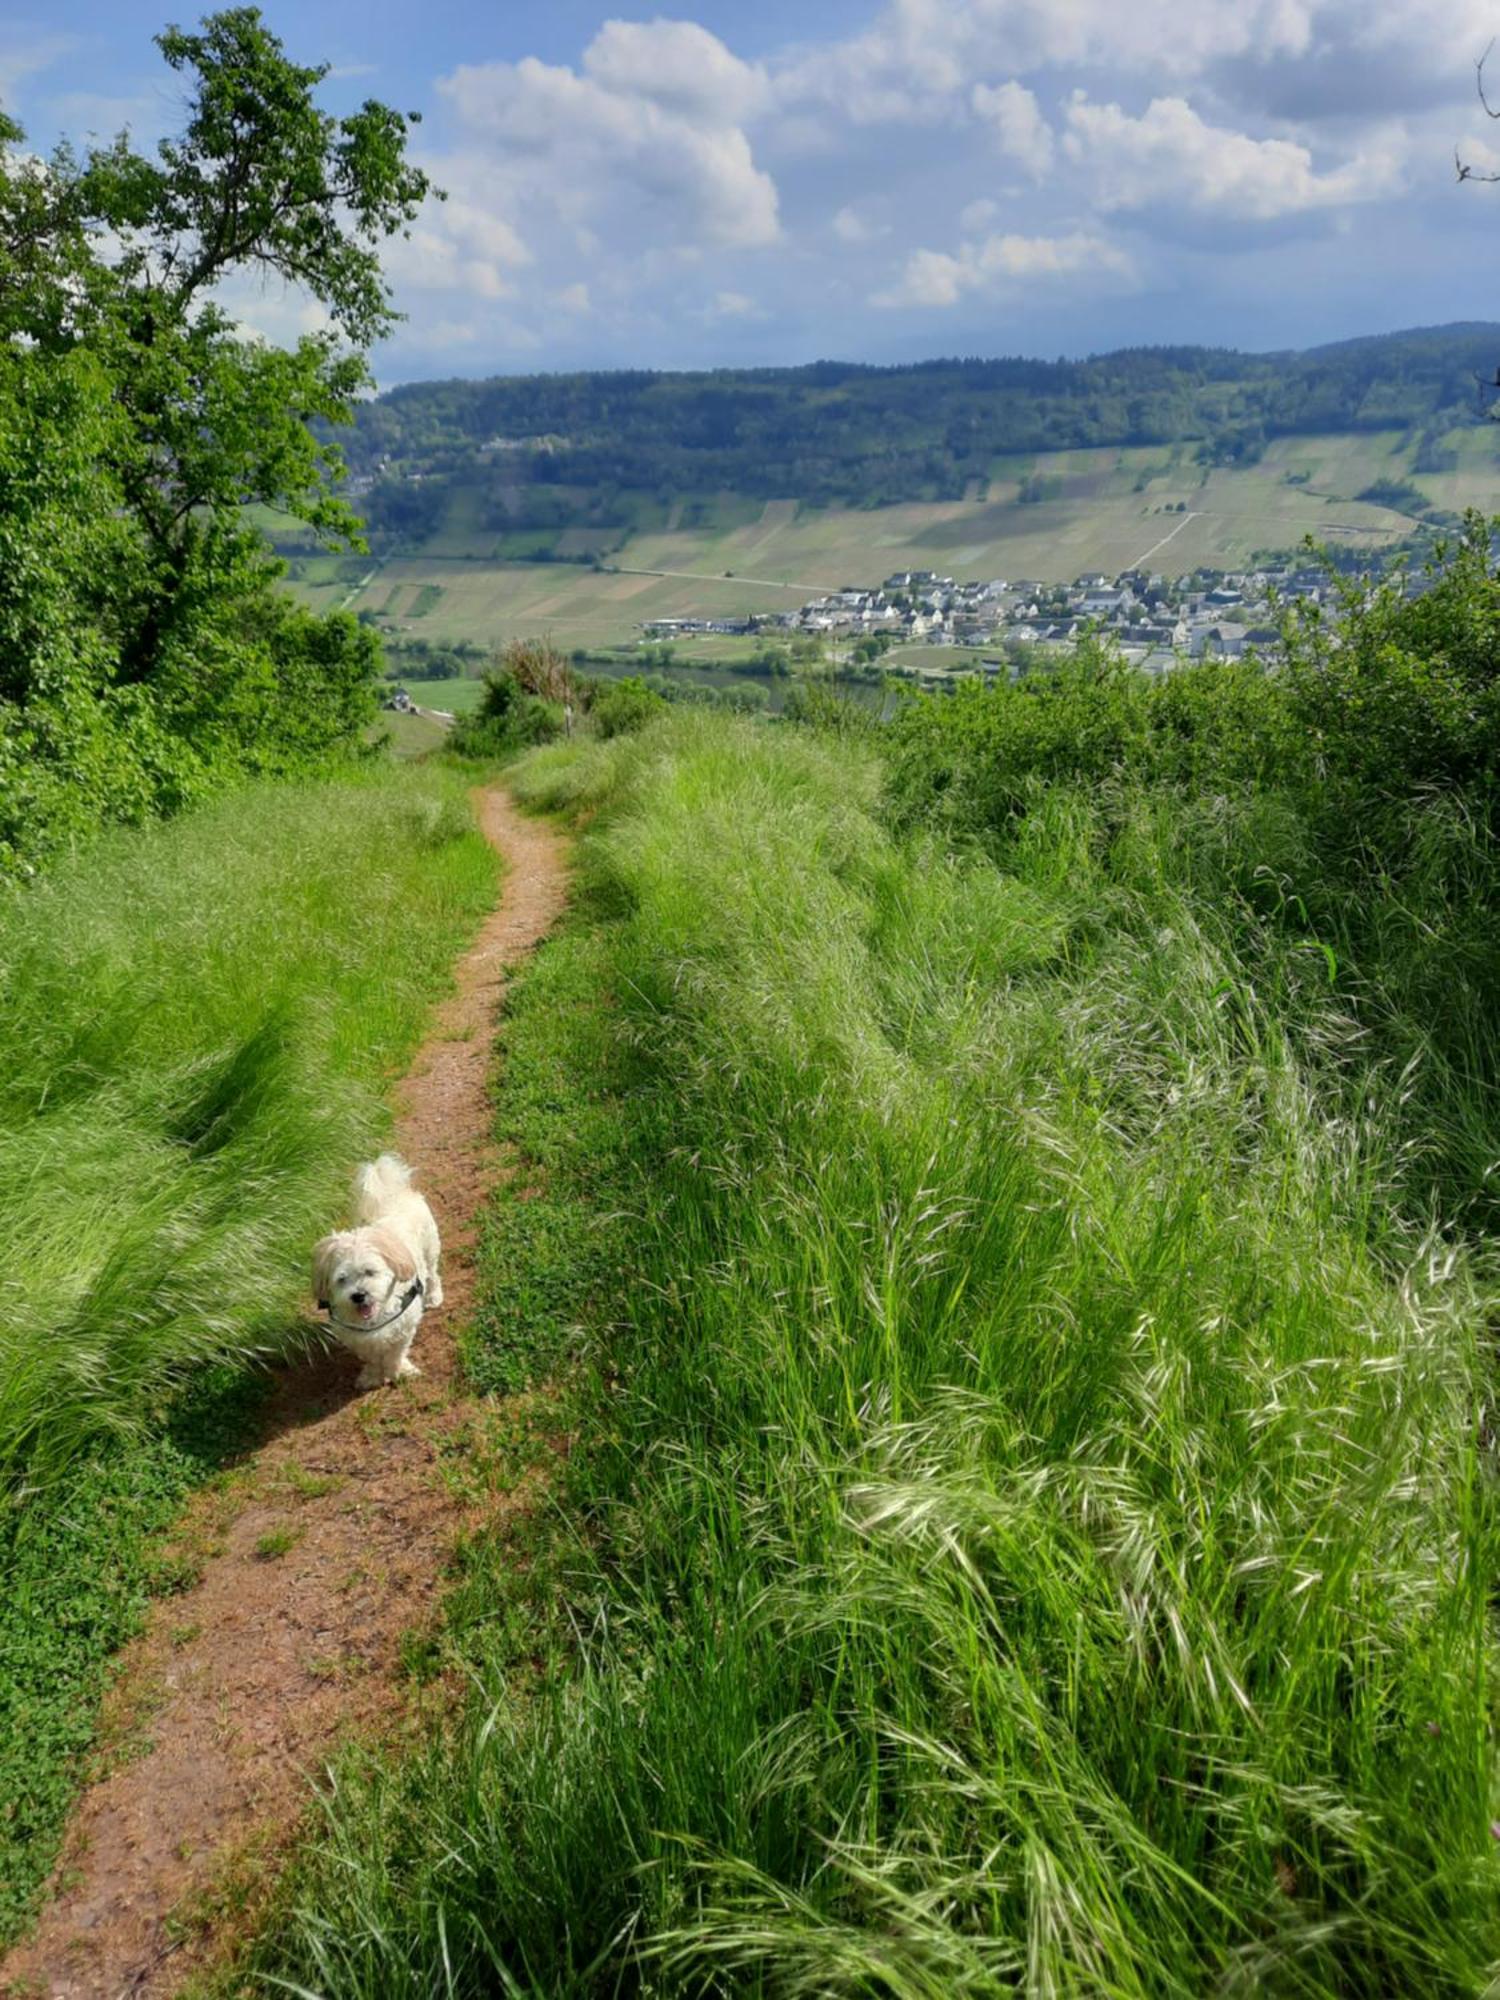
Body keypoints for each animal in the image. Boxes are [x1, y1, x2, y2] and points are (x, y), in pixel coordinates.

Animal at [312, 1160, 440, 1392]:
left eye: (370, 1272)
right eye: (341, 1279)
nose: (358, 1295)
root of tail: (393, 1195)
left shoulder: (405, 1325)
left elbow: (395, 1353)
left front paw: (398, 1371)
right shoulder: (356, 1337)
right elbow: (370, 1357)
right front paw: (372, 1376)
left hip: (430, 1247)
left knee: (433, 1274)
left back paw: (434, 1296)